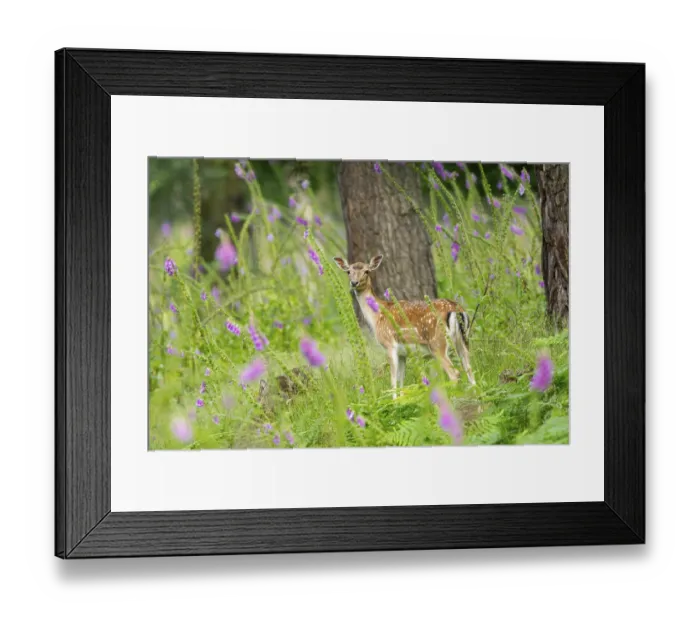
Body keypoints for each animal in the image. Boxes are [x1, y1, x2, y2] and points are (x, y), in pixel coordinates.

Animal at [333, 254, 476, 397]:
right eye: (348, 271)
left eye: (366, 271)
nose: (354, 283)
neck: (377, 317)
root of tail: (457, 310)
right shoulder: (403, 353)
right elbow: (401, 381)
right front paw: (402, 398)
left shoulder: (389, 344)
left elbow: (393, 381)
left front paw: (394, 400)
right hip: (464, 339)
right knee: (470, 370)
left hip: (437, 342)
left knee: (455, 373)